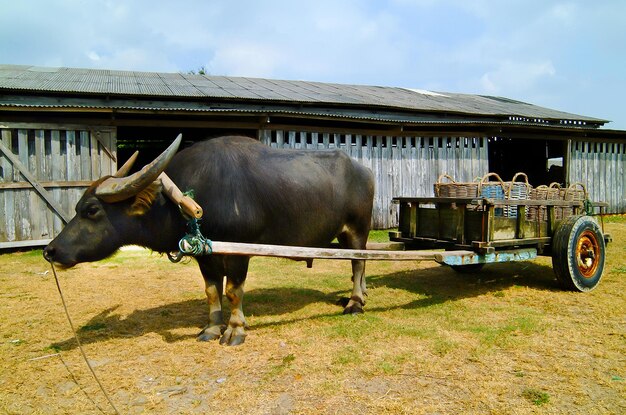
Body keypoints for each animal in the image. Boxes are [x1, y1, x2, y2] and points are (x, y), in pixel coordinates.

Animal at [46, 135, 376, 346]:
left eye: (92, 210)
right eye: (77, 206)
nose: (51, 250)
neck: (185, 199)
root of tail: (365, 171)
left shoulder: (240, 252)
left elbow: (233, 291)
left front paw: (235, 330)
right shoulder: (206, 254)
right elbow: (211, 290)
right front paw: (212, 327)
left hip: (357, 229)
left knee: (359, 263)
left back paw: (355, 303)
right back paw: (356, 295)